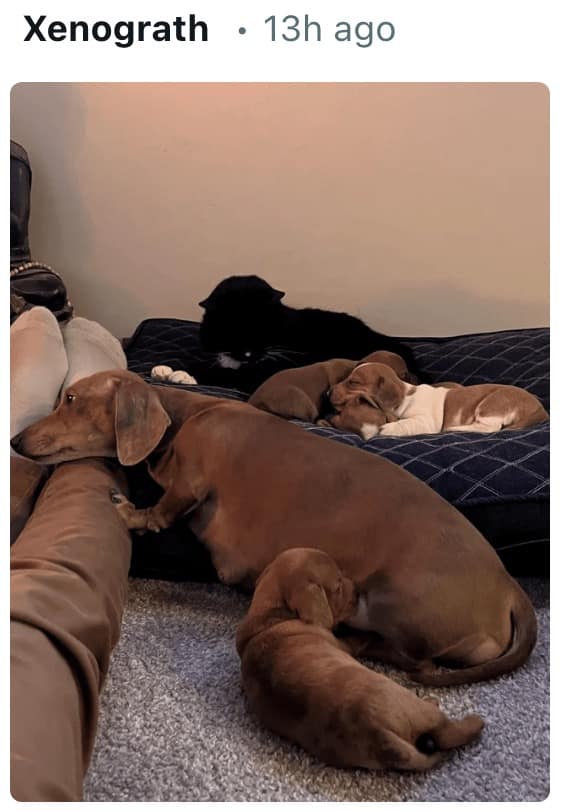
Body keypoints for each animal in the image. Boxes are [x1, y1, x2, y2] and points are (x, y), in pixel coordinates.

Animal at [11, 369, 537, 686]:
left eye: (71, 398)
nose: (15, 439)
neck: (187, 416)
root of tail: (509, 588)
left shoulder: (190, 482)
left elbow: (161, 510)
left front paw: (129, 511)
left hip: (393, 600)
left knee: (404, 654)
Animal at [236, 547, 484, 770]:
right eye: (338, 585)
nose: (358, 591)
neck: (271, 616)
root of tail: (378, 734)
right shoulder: (344, 644)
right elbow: (361, 638)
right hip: (408, 702)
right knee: (447, 731)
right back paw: (471, 719)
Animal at [330, 363, 549, 439]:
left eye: (353, 382)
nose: (327, 392)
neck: (406, 397)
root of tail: (539, 408)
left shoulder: (424, 421)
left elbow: (402, 424)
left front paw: (387, 429)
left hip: (491, 404)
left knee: (490, 428)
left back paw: (455, 428)